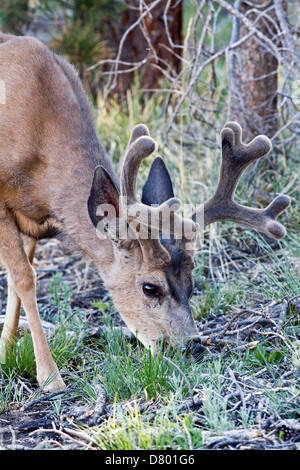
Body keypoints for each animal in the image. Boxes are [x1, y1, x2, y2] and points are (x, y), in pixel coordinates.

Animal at [0, 34, 290, 392]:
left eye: (192, 284)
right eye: (150, 287)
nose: (189, 346)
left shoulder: (30, 218)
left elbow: (16, 281)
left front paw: (6, 352)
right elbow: (25, 278)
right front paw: (51, 377)